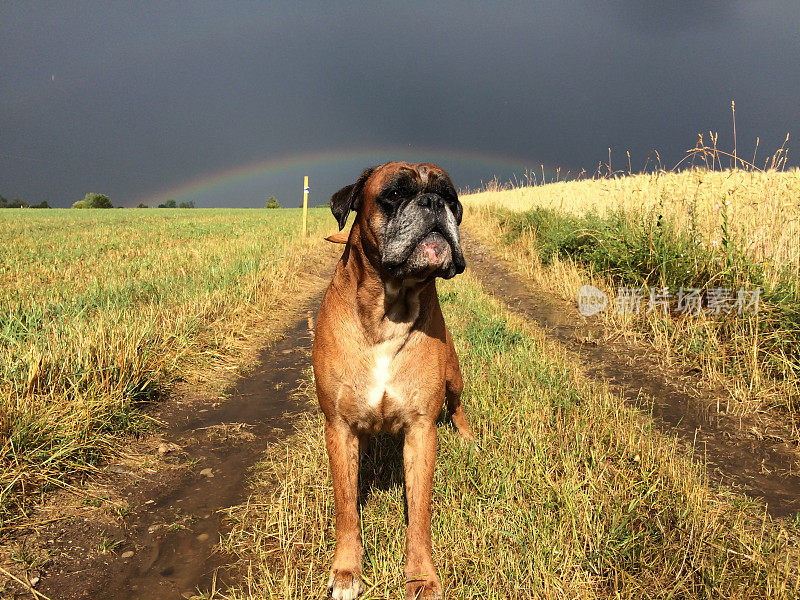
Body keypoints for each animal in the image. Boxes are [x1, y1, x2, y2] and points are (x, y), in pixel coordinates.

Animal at [312, 162, 476, 596]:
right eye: (395, 194)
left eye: (451, 198)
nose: (433, 203)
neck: (390, 309)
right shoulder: (338, 427)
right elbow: (346, 508)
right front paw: (346, 570)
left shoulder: (421, 431)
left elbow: (419, 512)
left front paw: (421, 576)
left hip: (454, 376)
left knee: (458, 407)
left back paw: (468, 437)